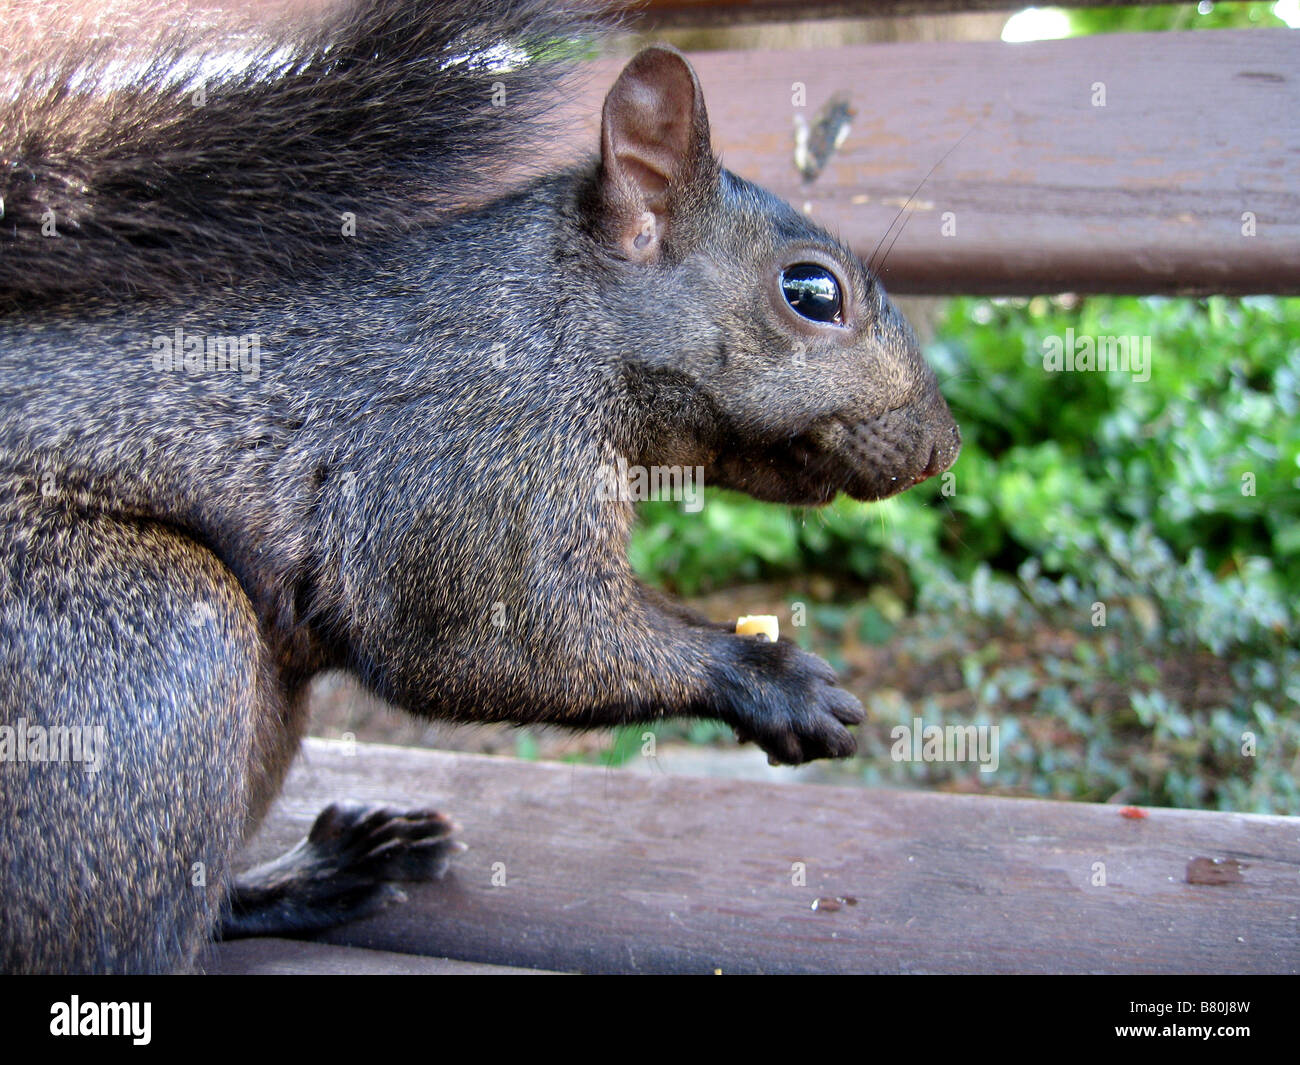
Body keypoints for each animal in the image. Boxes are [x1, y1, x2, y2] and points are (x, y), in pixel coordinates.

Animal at [0, 0, 956, 972]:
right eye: (812, 292)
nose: (943, 449)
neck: (555, 320)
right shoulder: (469, 462)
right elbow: (497, 641)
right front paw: (772, 678)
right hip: (148, 638)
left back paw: (327, 870)